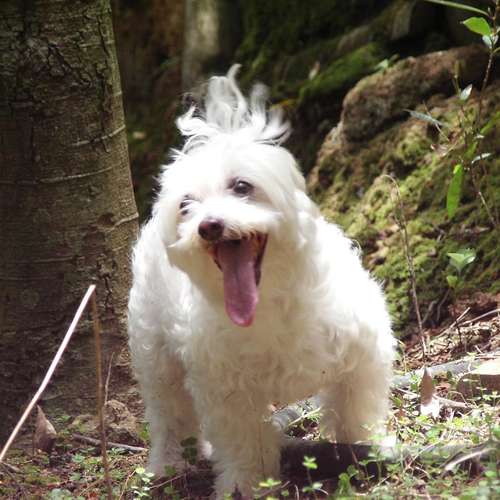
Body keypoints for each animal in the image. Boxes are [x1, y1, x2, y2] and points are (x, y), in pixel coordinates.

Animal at [127, 65, 395, 498]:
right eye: (186, 206)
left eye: (242, 186)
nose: (209, 225)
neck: (270, 305)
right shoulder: (230, 394)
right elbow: (244, 442)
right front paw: (246, 485)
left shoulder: (361, 356)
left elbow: (356, 410)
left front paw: (367, 449)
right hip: (156, 356)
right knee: (168, 415)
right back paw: (166, 464)